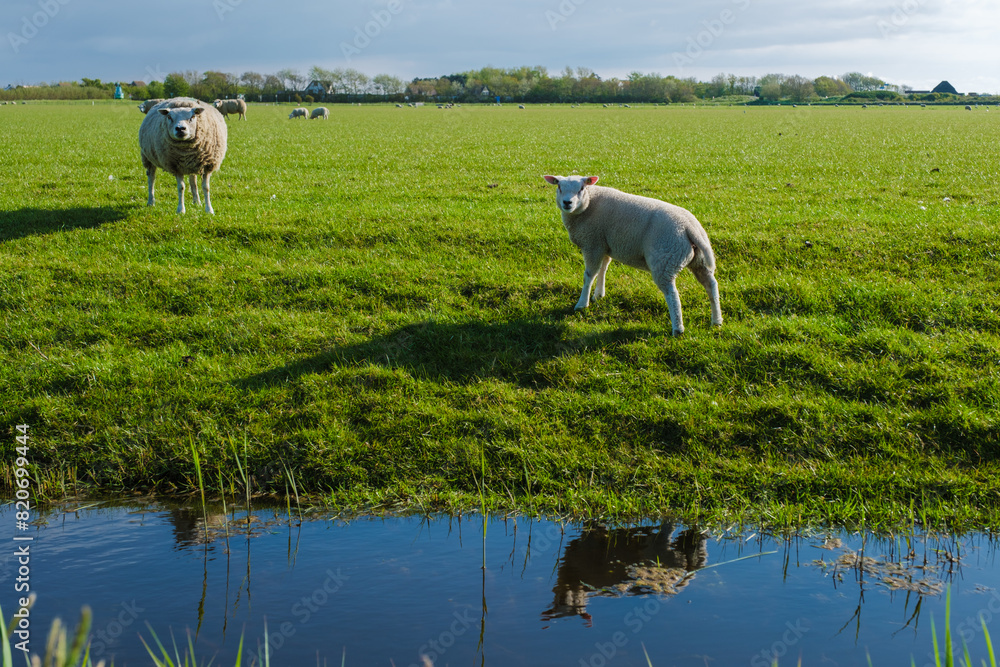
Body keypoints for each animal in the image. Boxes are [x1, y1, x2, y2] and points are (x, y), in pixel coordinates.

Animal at [542, 175, 722, 336]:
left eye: (581, 188)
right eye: (559, 187)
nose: (567, 202)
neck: (589, 204)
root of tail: (688, 226)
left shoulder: (592, 244)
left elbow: (589, 275)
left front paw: (582, 304)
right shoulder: (604, 244)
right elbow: (603, 269)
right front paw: (598, 295)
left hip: (664, 259)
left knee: (672, 294)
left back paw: (678, 329)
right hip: (698, 260)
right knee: (711, 284)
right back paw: (716, 321)